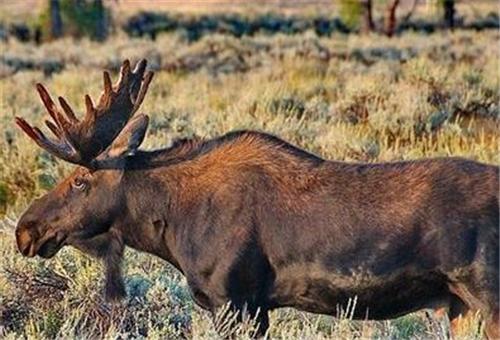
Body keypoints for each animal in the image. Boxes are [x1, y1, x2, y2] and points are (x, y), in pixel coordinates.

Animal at [13, 59, 498, 338]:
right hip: (459, 306)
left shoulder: (233, 299)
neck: (170, 225)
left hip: (485, 295)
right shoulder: (256, 306)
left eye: (80, 179)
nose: (25, 230)